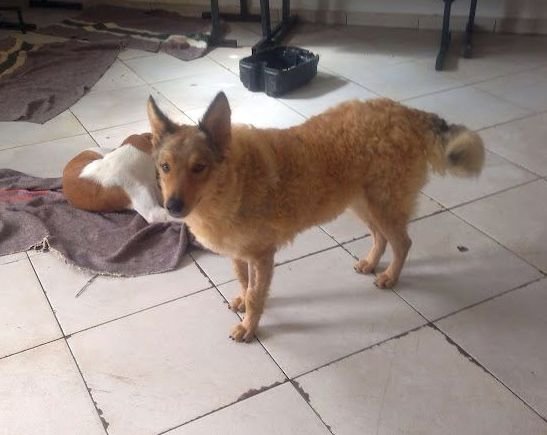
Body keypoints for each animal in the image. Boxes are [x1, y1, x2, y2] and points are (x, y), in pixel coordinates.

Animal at [147, 92, 484, 342]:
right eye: (165, 167)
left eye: (199, 168)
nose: (172, 206)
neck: (233, 181)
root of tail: (409, 113)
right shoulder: (240, 253)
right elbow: (244, 282)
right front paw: (242, 301)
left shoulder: (261, 255)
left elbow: (257, 295)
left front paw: (249, 326)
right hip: (363, 205)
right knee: (381, 237)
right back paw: (371, 263)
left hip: (383, 205)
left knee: (403, 242)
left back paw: (390, 276)